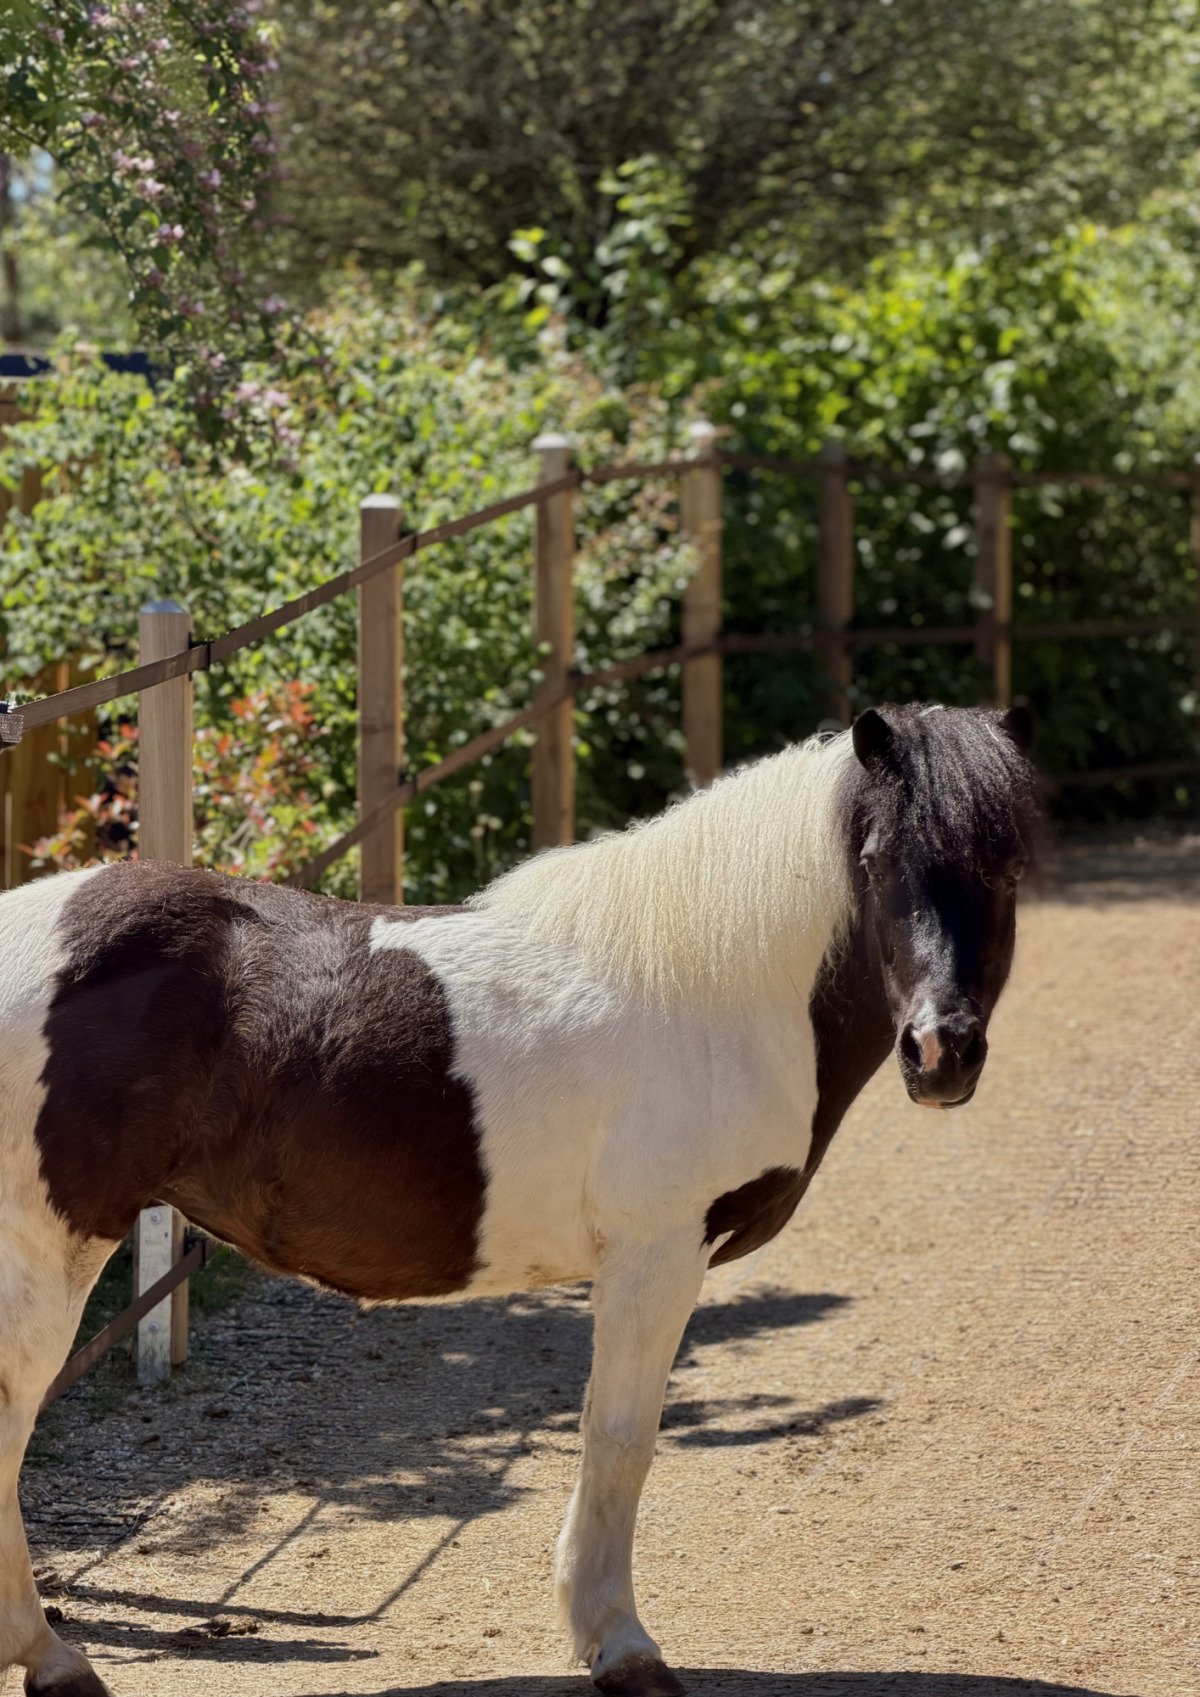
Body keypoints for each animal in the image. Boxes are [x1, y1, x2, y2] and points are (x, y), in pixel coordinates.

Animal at [0, 701, 1038, 1697]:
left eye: (1007, 864)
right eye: (875, 860)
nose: (941, 1051)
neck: (718, 989)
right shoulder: (657, 1254)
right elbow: (620, 1438)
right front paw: (622, 1647)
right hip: (49, 1252)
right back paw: (53, 1659)